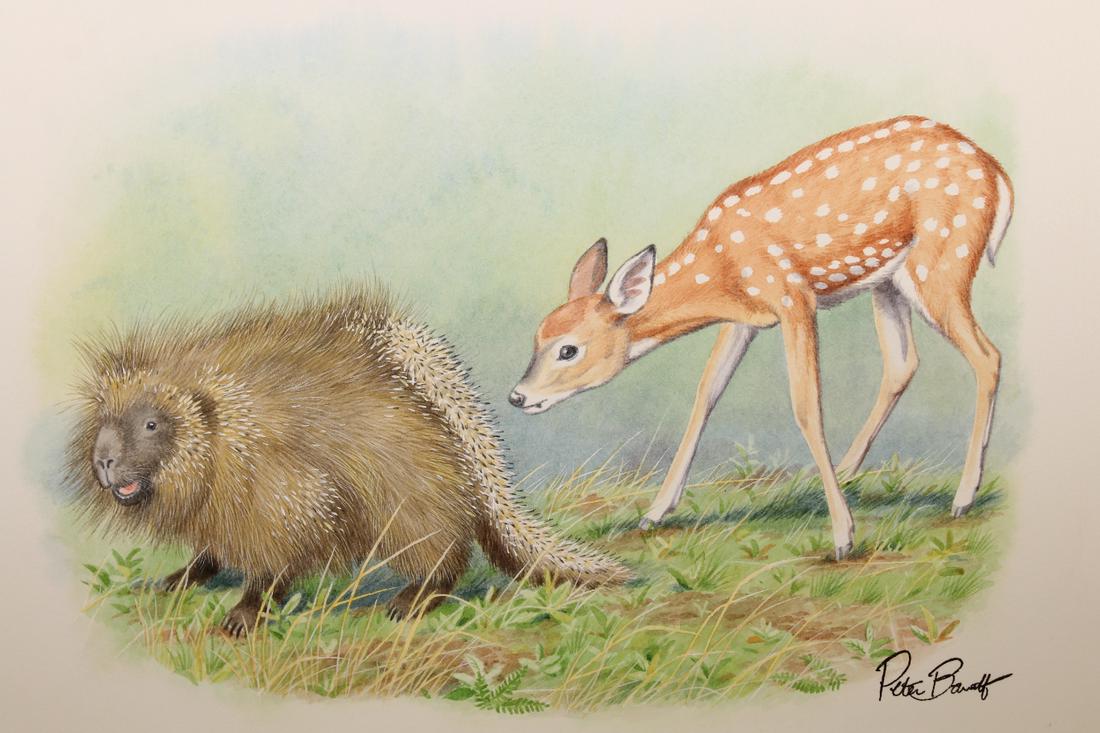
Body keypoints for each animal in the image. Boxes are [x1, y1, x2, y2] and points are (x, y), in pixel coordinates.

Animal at [508, 115, 1014, 560]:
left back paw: (963, 496)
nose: (518, 396)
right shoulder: (745, 319)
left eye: (568, 349)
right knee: (903, 363)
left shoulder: (792, 296)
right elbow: (706, 393)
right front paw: (655, 512)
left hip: (942, 259)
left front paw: (843, 537)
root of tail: (997, 172)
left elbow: (806, 406)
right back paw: (847, 471)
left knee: (987, 355)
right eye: (536, 337)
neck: (721, 268)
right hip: (889, 283)